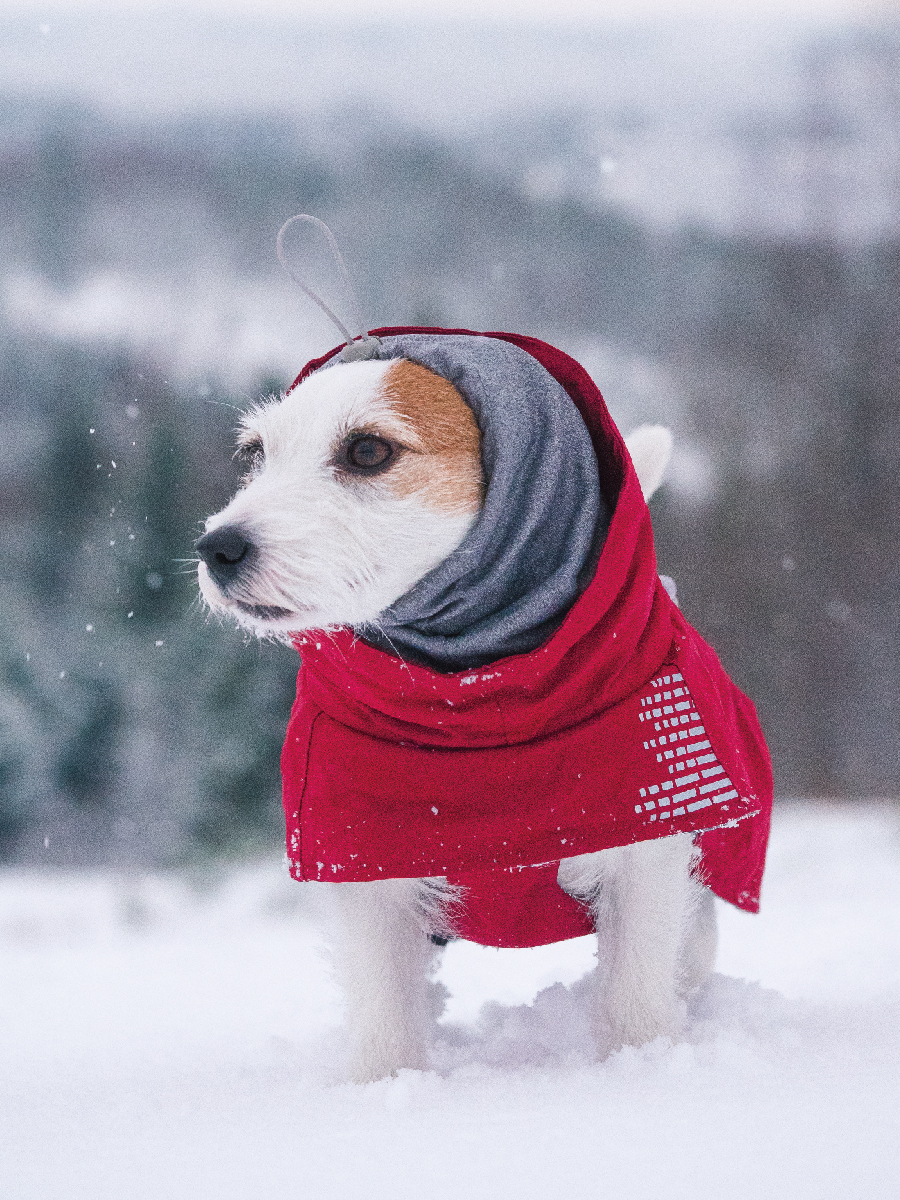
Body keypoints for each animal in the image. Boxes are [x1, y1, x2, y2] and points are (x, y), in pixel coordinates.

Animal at [199, 326, 777, 1080]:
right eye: (255, 454)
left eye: (367, 451)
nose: (216, 547)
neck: (476, 711)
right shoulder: (368, 877)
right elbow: (385, 1017)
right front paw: (387, 1088)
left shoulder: (645, 861)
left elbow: (634, 998)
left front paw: (640, 1071)